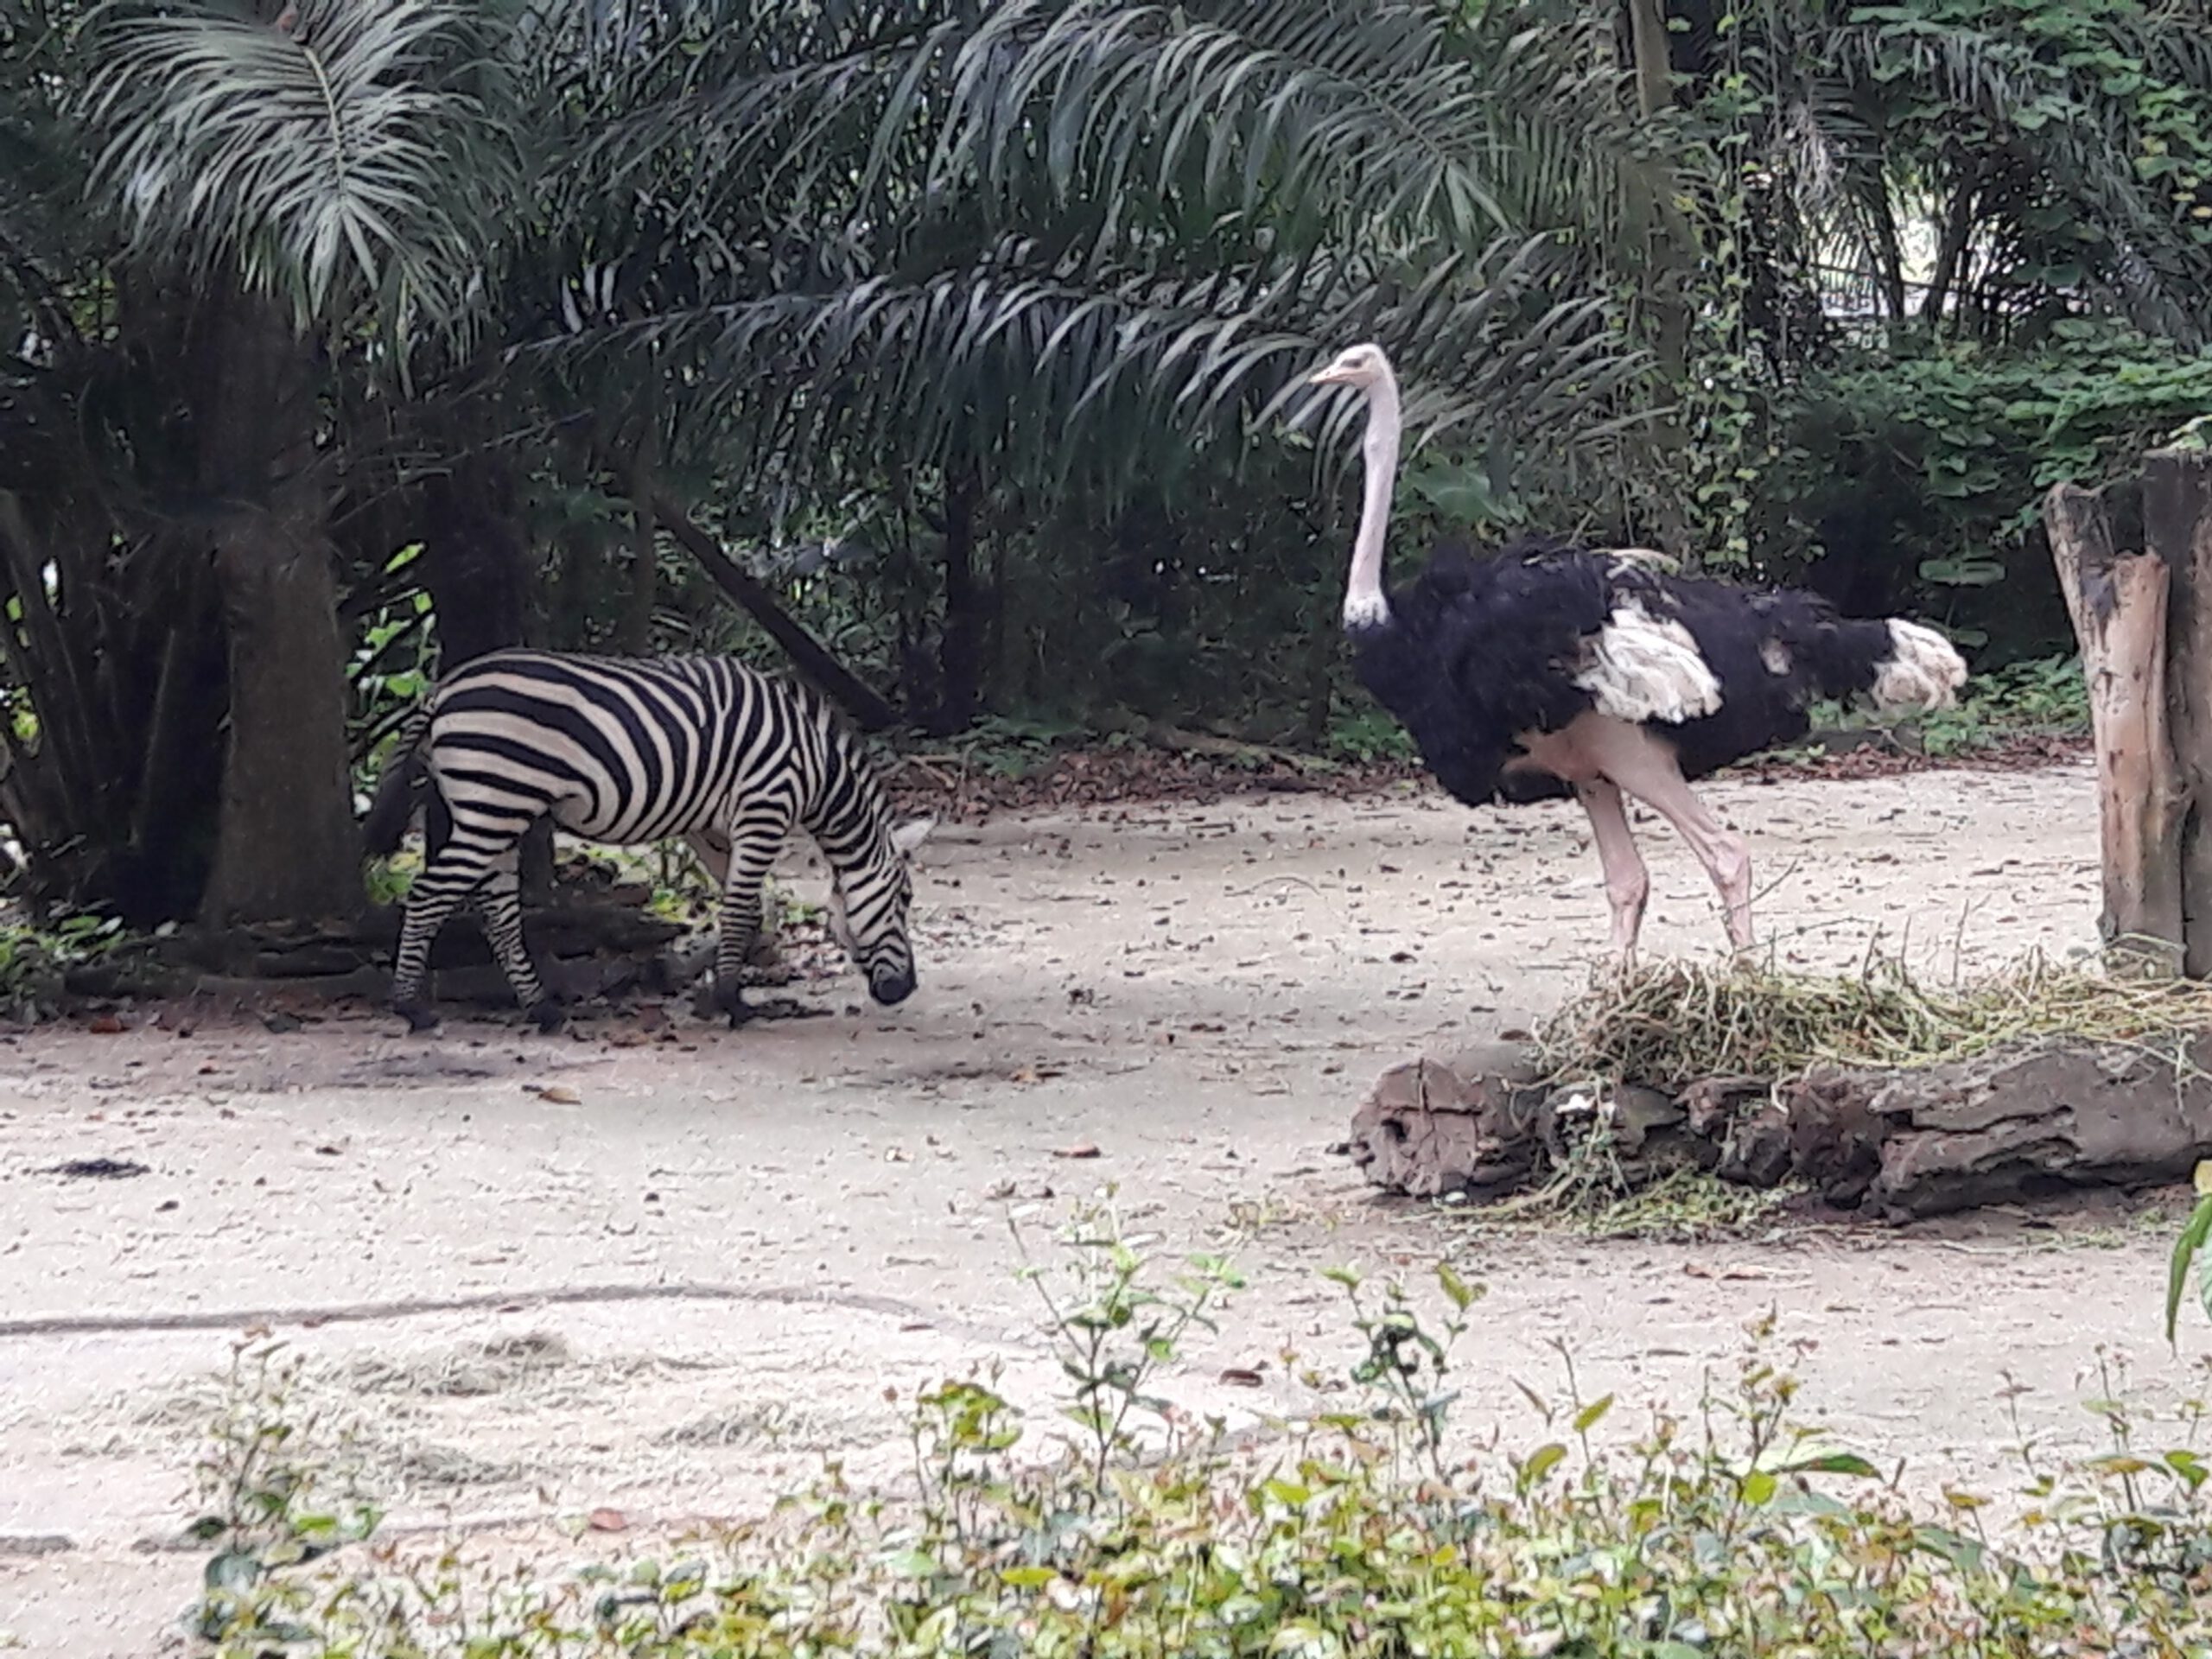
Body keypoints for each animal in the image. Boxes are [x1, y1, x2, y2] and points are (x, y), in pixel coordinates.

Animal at [362, 645, 933, 1026]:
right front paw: (733, 1002)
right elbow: (741, 910)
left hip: (499, 809)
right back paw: (411, 1007)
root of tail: (442, 689)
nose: (906, 990)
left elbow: (748, 910)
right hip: (494, 803)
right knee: (429, 894)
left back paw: (541, 1008)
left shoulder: (711, 827)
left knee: (498, 910)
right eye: (904, 899)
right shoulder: (764, 809)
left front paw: (713, 994)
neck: (816, 768)